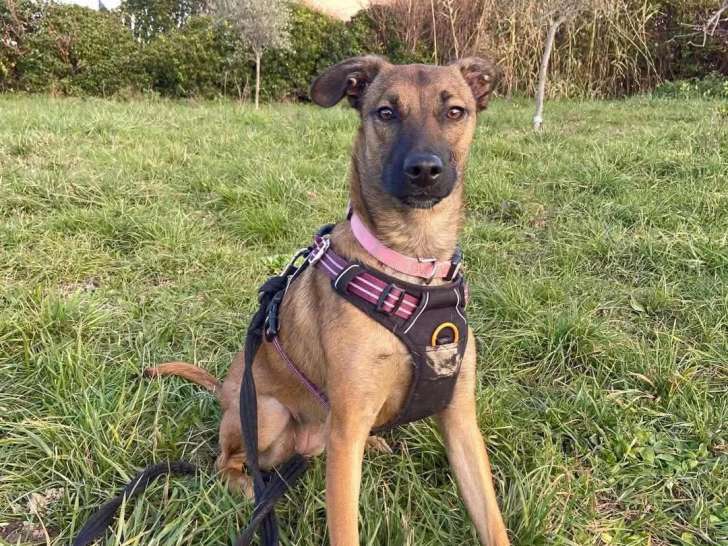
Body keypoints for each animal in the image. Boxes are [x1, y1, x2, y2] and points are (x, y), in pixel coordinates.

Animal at [146, 56, 510, 546]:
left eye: (455, 111)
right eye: (386, 113)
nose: (424, 170)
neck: (413, 266)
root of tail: (224, 390)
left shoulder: (460, 421)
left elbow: (491, 520)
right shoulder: (346, 432)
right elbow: (344, 527)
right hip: (268, 412)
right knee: (227, 461)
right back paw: (248, 488)